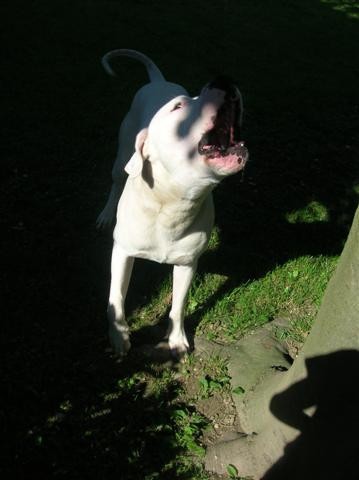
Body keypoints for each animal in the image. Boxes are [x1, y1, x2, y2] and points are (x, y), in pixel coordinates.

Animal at [98, 49, 250, 356]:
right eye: (178, 107)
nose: (223, 80)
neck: (169, 204)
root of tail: (159, 81)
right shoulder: (122, 252)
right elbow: (116, 299)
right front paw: (118, 337)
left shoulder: (187, 264)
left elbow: (178, 306)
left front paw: (177, 339)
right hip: (122, 154)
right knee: (116, 178)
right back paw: (106, 214)